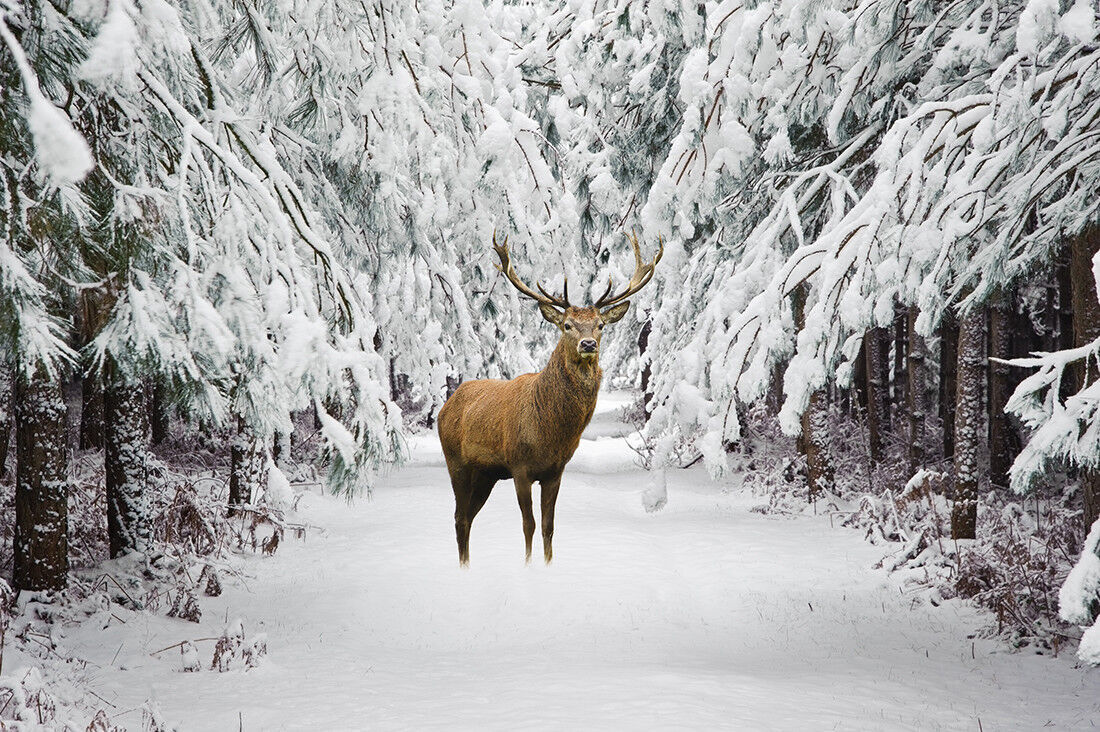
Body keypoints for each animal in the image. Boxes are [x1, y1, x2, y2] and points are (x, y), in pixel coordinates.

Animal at [437, 232, 663, 566]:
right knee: (459, 517)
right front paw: (529, 566)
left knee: (468, 517)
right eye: (567, 325)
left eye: (600, 325)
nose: (588, 344)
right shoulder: (519, 466)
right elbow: (528, 524)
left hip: (486, 474)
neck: (550, 432)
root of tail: (446, 405)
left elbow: (548, 526)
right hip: (457, 462)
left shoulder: (555, 471)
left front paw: (548, 564)